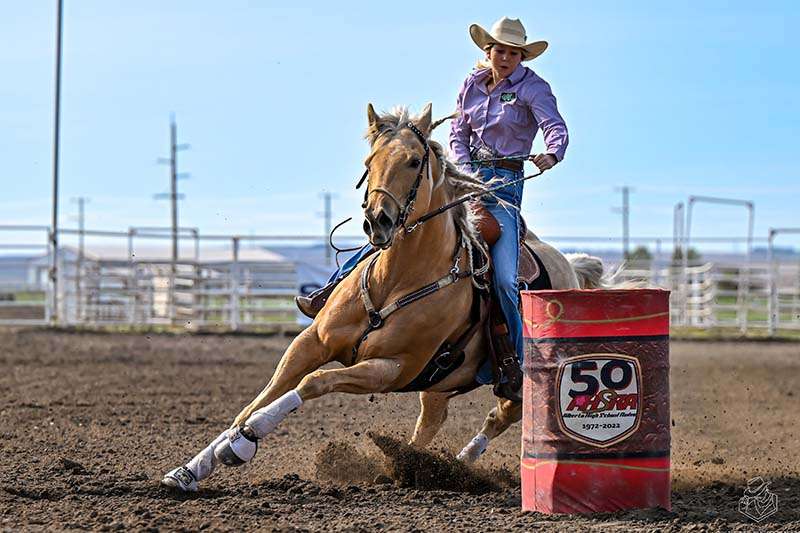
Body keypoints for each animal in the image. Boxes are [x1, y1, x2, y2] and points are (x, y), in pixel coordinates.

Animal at [162, 104, 608, 490]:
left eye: (413, 161)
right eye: (368, 162)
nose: (377, 220)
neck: (396, 280)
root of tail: (570, 265)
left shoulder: (392, 368)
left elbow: (312, 383)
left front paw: (246, 439)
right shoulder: (311, 342)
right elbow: (260, 397)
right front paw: (195, 466)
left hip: (521, 377)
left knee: (503, 413)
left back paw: (456, 466)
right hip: (440, 384)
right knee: (432, 423)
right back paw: (417, 465)